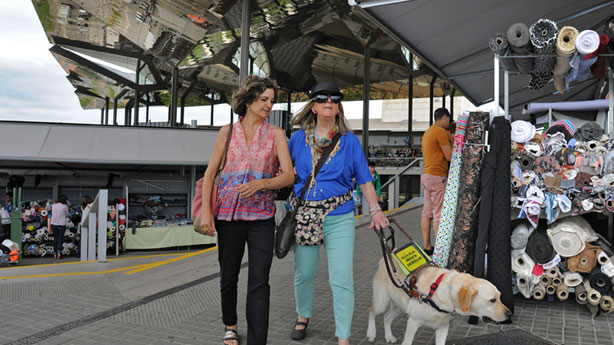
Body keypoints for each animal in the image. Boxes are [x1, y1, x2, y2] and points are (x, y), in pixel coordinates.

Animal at [368, 220, 512, 344]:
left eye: (500, 298)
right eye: (492, 300)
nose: (509, 314)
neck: (445, 292)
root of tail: (385, 260)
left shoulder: (443, 327)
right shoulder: (413, 322)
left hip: (399, 305)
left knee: (386, 318)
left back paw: (389, 336)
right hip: (382, 301)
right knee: (372, 311)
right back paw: (371, 333)